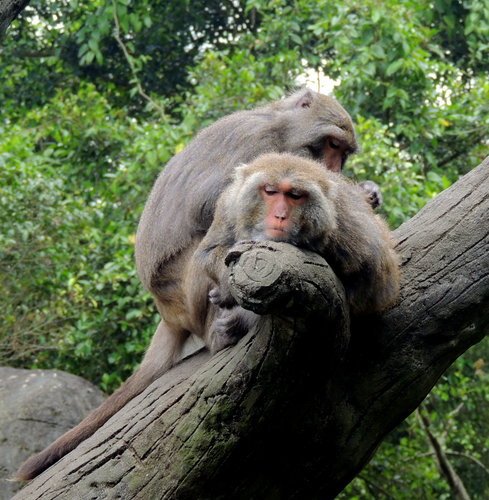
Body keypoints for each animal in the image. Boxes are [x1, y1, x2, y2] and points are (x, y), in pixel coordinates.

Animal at [16, 89, 388, 480]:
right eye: (330, 144)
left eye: (343, 152)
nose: (335, 168)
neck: (279, 126)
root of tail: (166, 312)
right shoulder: (256, 145)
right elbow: (215, 204)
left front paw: (367, 192)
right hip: (180, 288)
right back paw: (220, 330)